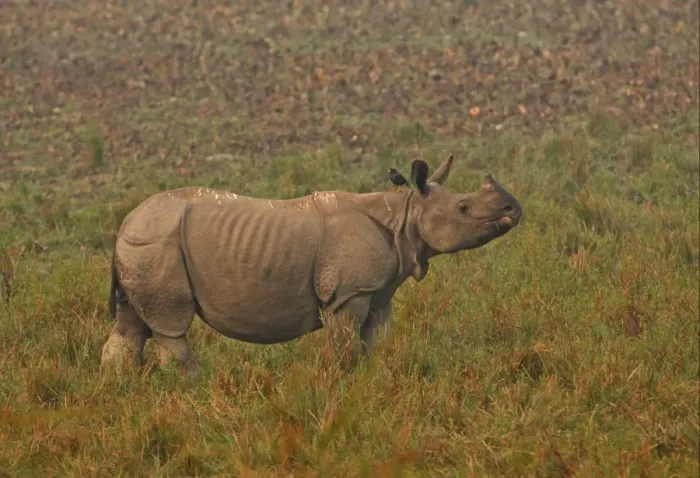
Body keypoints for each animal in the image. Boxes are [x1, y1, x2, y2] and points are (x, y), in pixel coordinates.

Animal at [101, 155, 522, 375]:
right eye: (464, 208)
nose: (513, 208)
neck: (405, 212)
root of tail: (123, 226)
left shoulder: (378, 291)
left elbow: (377, 339)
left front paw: (375, 377)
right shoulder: (349, 292)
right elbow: (345, 343)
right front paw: (344, 380)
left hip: (141, 245)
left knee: (132, 325)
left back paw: (122, 388)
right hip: (156, 243)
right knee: (170, 325)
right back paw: (193, 384)